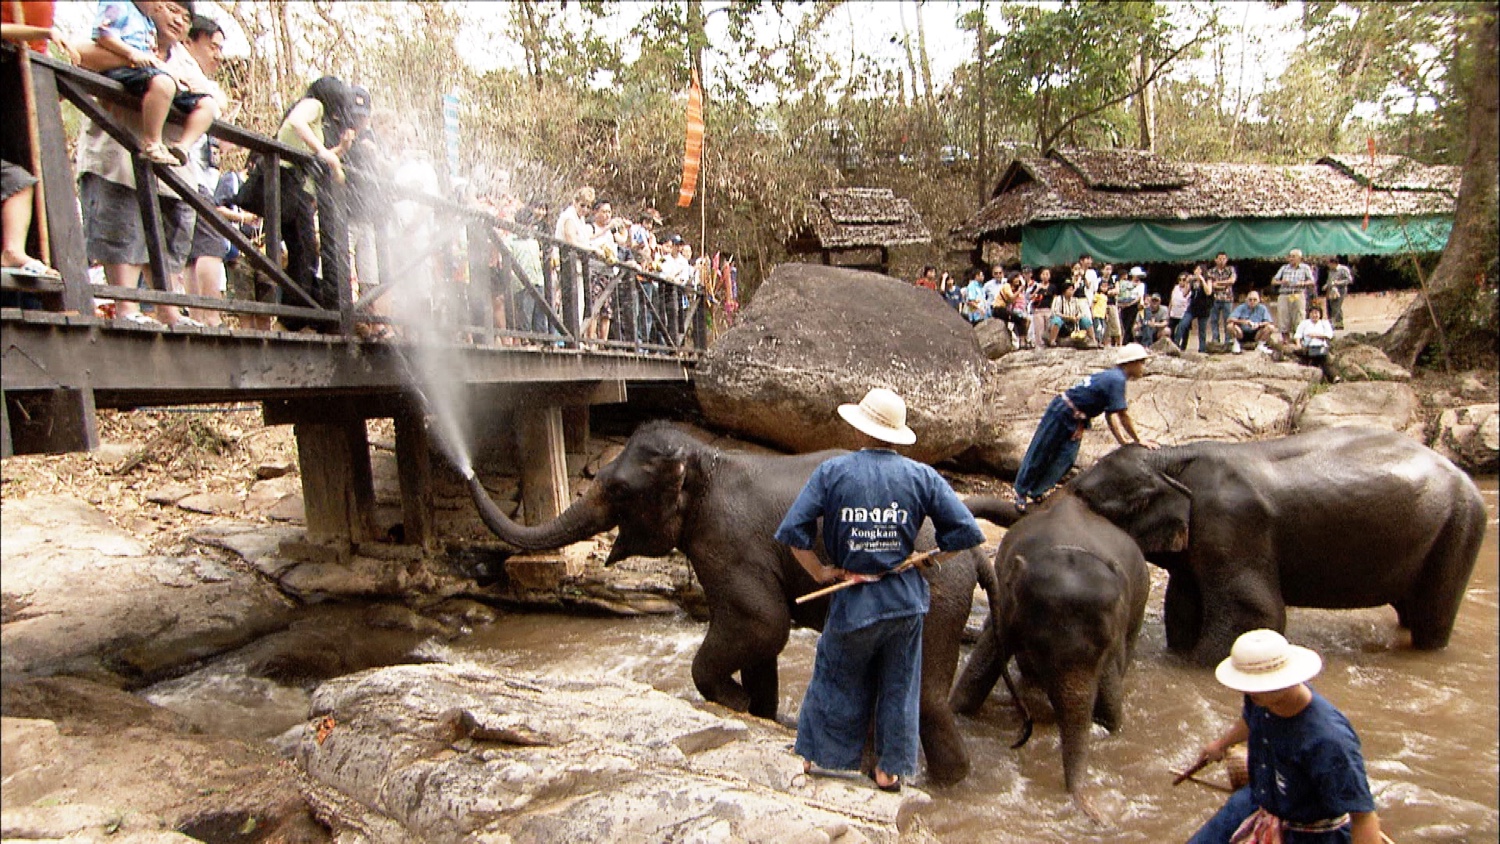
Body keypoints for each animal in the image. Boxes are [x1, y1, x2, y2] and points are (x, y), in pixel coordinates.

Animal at [465, 422, 996, 785]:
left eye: (617, 490)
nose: (465, 467)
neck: (708, 458)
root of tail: (975, 548)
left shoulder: (726, 540)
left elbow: (762, 622)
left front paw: (735, 702)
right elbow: (764, 644)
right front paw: (759, 712)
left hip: (939, 594)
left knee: (924, 699)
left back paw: (944, 782)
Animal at [948, 491, 1146, 821]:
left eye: (1105, 646)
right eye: (1039, 646)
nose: (1095, 814)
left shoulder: (1117, 631)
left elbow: (1112, 709)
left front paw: (1108, 727)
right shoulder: (1008, 605)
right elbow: (978, 675)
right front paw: (958, 711)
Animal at [1068, 428, 1488, 668]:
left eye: (1091, 502)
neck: (1168, 459)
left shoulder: (1230, 523)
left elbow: (1255, 612)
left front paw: (1195, 670)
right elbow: (1182, 606)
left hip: (1461, 529)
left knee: (1432, 618)